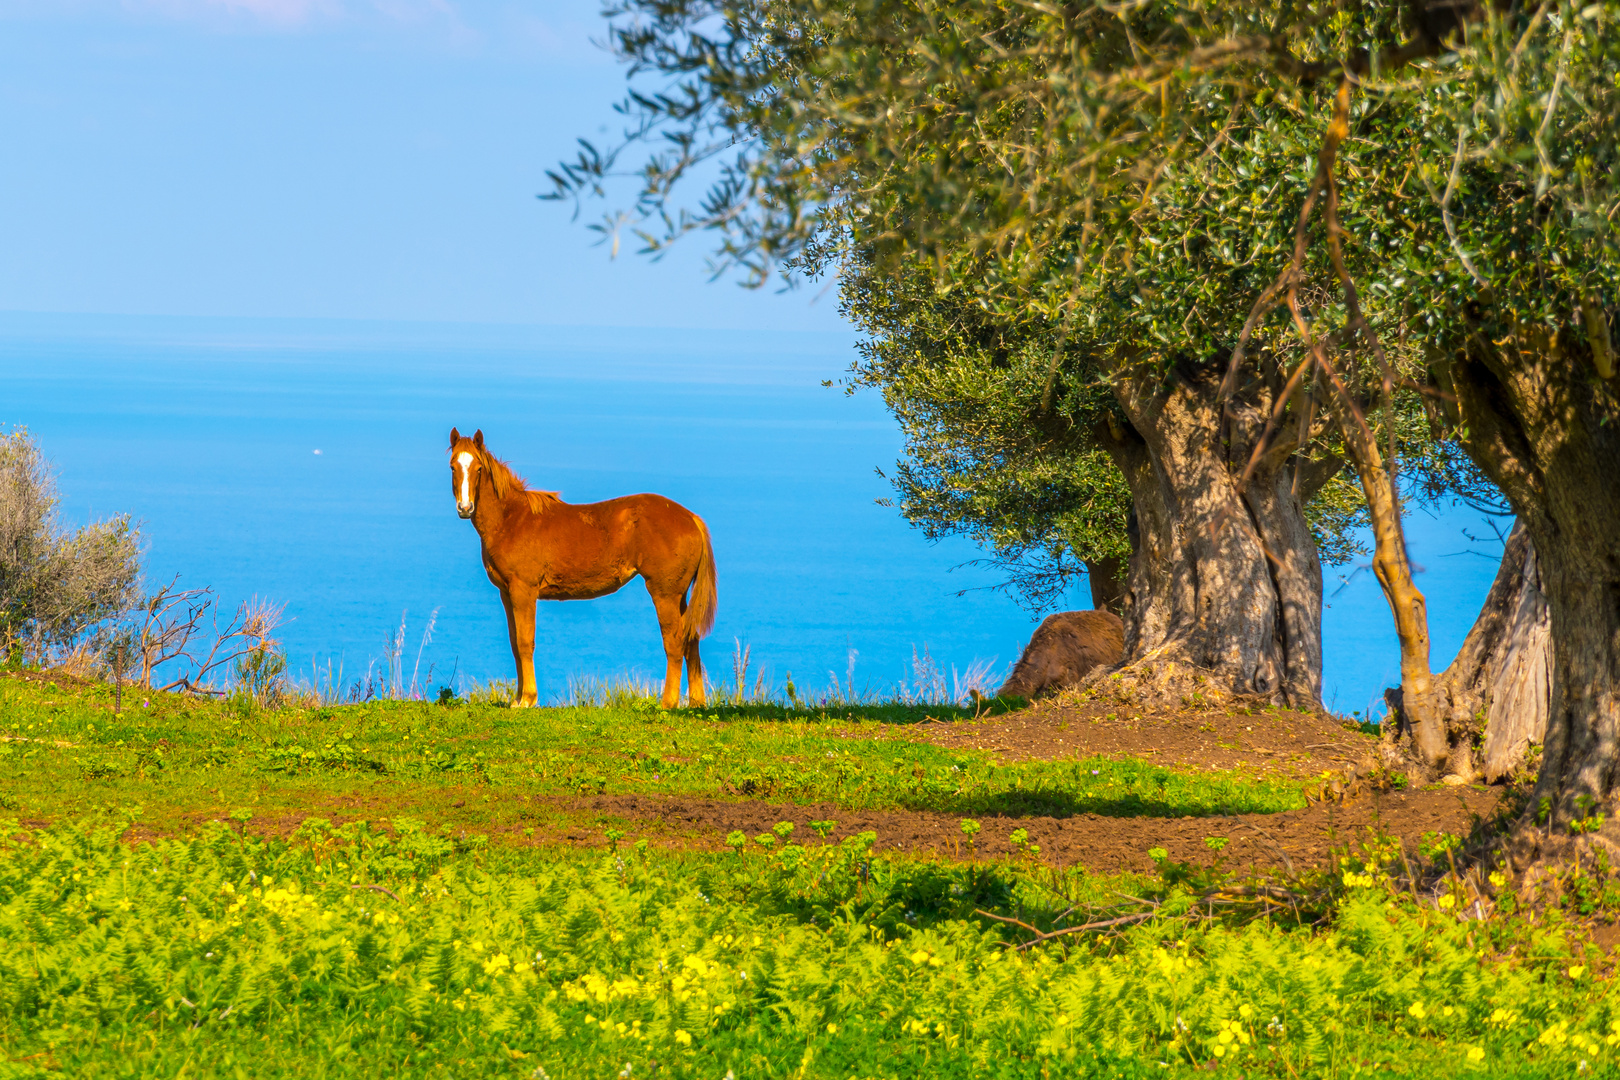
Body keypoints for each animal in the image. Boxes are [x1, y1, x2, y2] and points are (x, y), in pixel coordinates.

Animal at [450, 430, 716, 709]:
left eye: (479, 468)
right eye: (453, 466)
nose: (465, 508)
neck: (512, 519)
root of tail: (690, 518)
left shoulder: (524, 591)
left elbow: (525, 642)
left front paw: (528, 699)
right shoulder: (507, 593)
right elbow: (514, 643)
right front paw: (518, 699)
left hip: (664, 593)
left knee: (674, 642)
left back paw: (668, 703)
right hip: (680, 595)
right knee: (691, 639)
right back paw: (696, 703)